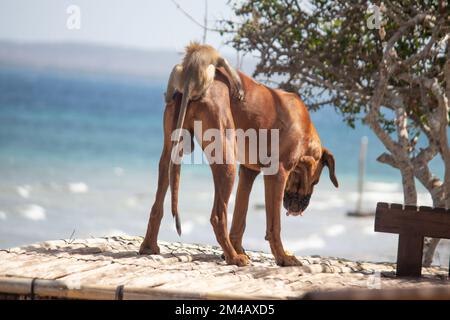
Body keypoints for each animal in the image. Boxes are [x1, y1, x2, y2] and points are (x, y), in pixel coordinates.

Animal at [140, 67, 338, 264]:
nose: (299, 208)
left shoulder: (248, 172)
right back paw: (233, 257)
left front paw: (238, 247)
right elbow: (274, 225)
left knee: (157, 206)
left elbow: (239, 217)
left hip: (171, 153)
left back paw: (149, 246)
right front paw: (282, 257)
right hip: (227, 161)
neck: (306, 131)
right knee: (218, 216)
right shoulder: (277, 174)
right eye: (315, 182)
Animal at [165, 42, 244, 235]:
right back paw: (198, 94)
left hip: (180, 77)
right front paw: (239, 88)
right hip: (204, 78)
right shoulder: (217, 58)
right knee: (212, 69)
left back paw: (169, 96)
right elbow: (224, 63)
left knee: (176, 68)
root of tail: (189, 81)